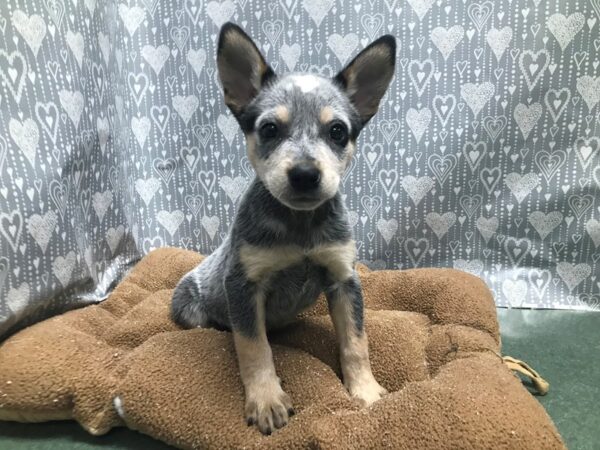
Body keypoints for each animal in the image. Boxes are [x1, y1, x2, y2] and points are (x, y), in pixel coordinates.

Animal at [171, 22, 396, 436]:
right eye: (270, 129)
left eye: (337, 131)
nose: (305, 174)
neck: (299, 227)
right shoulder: (244, 285)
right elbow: (254, 348)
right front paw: (266, 400)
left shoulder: (343, 279)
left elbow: (356, 342)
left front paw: (365, 391)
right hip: (187, 307)